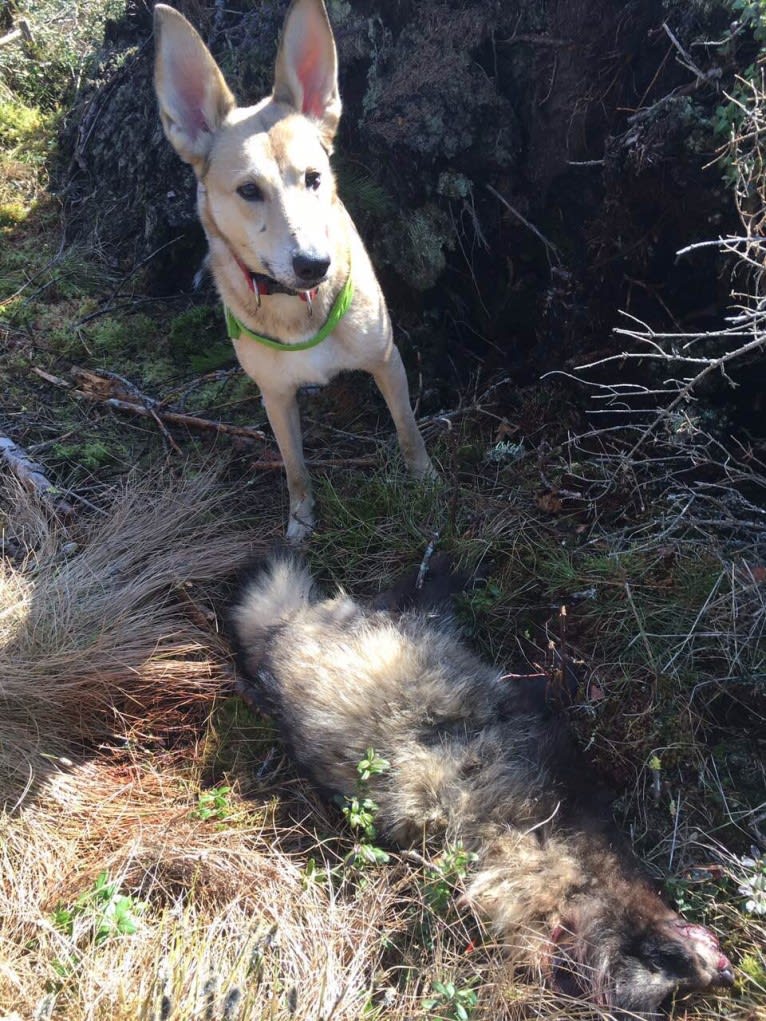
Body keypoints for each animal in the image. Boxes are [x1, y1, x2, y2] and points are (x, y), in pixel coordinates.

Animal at [153, 0, 435, 543]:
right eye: (248, 190)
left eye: (314, 178)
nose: (314, 264)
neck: (296, 307)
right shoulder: (275, 397)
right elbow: (294, 468)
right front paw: (300, 523)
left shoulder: (387, 361)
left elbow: (408, 428)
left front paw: (426, 480)